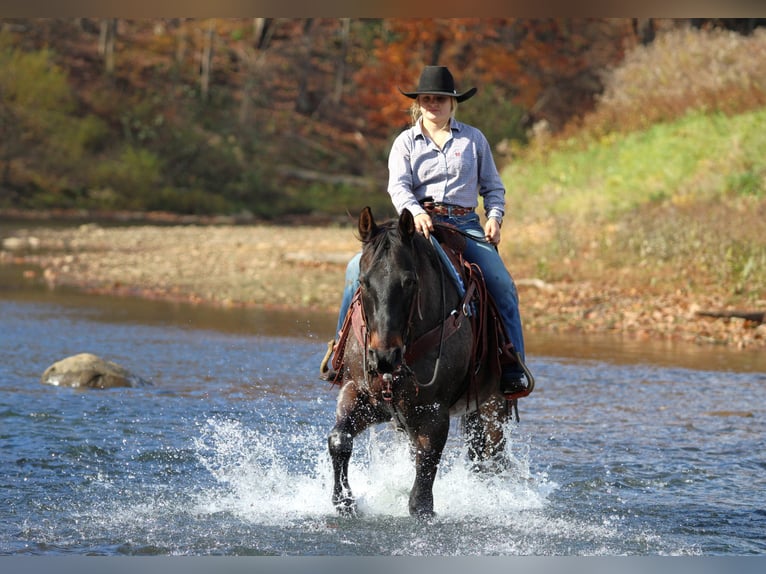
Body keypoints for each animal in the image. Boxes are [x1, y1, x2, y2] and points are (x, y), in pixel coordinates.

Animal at [327, 206, 531, 518]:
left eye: (410, 281)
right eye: (362, 282)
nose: (384, 357)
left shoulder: (434, 413)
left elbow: (423, 486)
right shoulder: (360, 394)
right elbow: (339, 440)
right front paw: (345, 502)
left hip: (494, 405)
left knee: (492, 457)